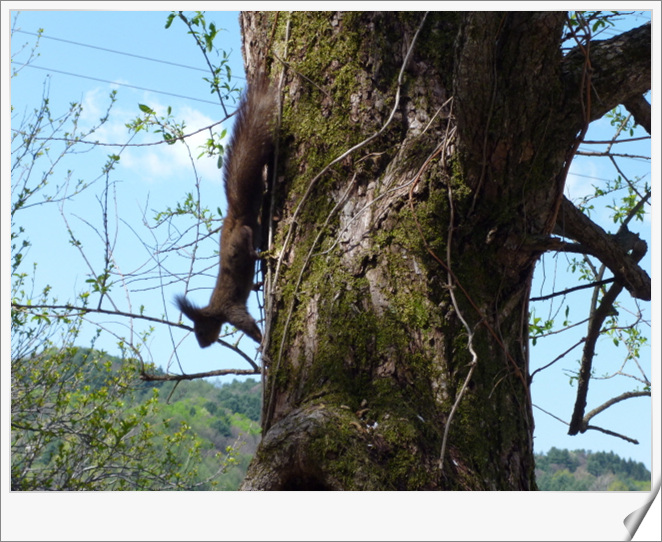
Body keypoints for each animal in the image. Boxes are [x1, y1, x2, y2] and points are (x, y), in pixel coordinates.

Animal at [175, 77, 276, 348]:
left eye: (200, 331)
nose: (202, 345)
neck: (215, 311)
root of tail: (234, 216)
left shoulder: (232, 310)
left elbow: (248, 325)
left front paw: (261, 340)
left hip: (238, 239)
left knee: (247, 235)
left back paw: (255, 252)